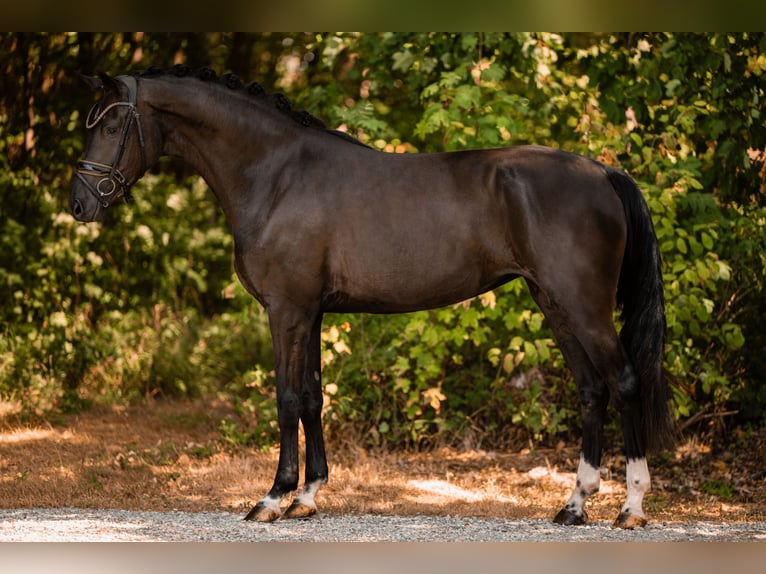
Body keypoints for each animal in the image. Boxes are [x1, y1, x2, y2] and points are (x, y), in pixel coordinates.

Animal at [70, 65, 673, 529]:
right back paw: (574, 505)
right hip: (555, 303)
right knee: (591, 389)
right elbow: (312, 397)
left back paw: (631, 508)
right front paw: (308, 498)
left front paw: (272, 498)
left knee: (624, 382)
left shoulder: (286, 311)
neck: (275, 173)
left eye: (115, 123)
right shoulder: (310, 312)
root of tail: (604, 172)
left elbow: (286, 399)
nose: (80, 203)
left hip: (585, 307)